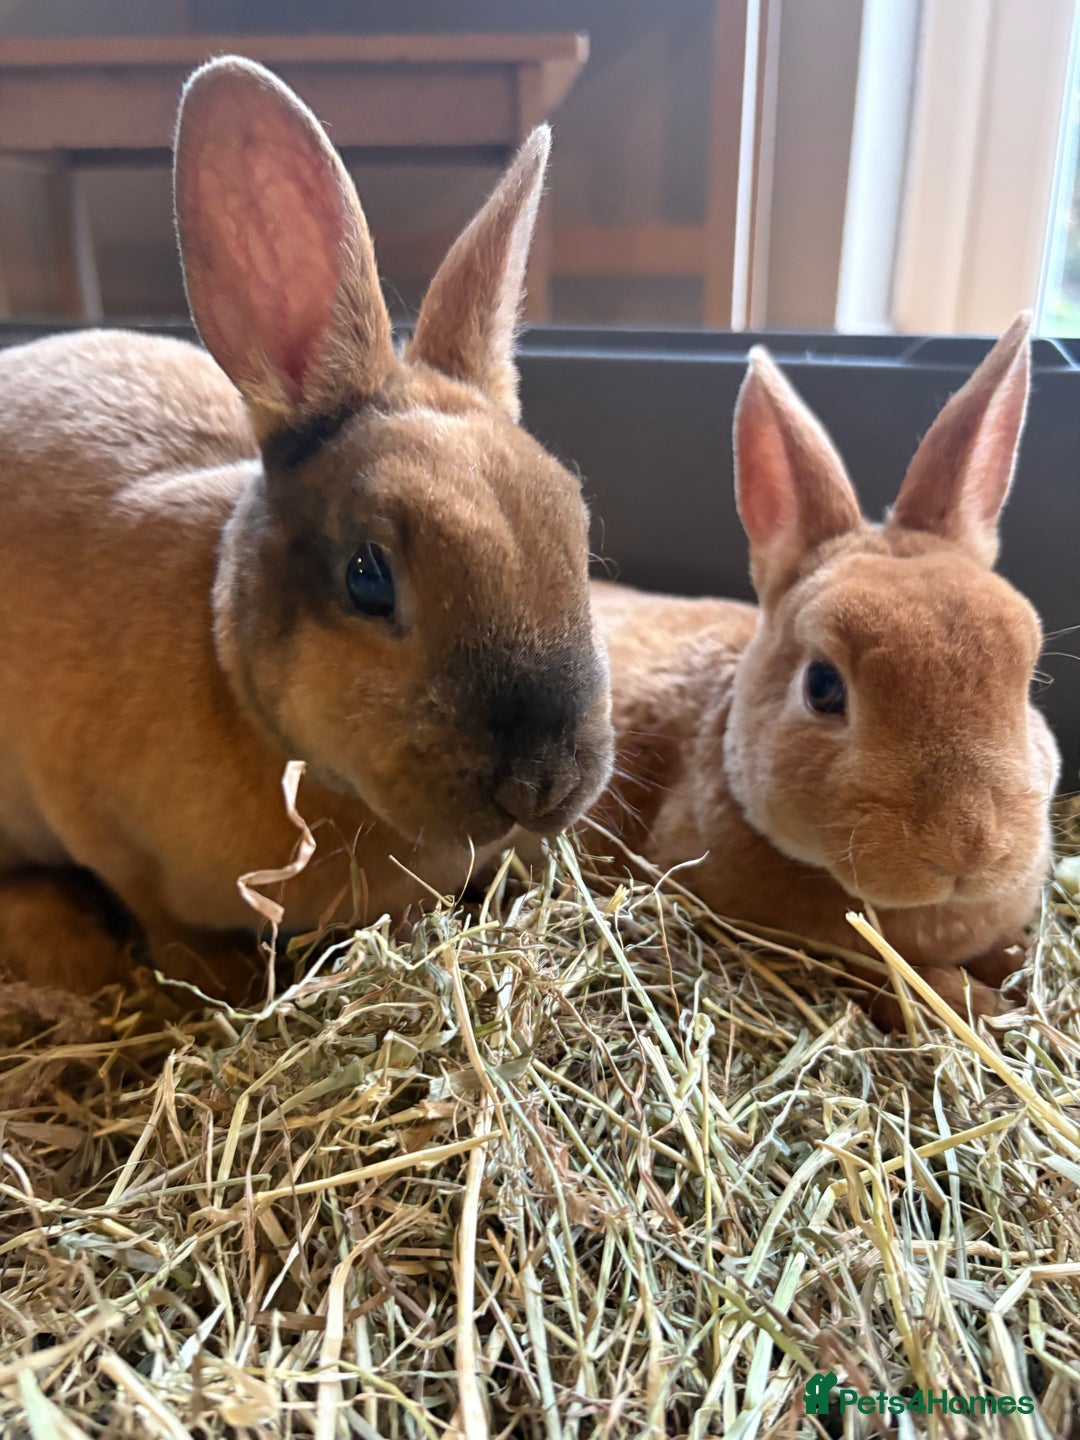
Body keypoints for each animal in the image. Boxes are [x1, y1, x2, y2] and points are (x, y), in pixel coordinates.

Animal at [0, 56, 613, 998]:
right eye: (367, 576)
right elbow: (167, 927)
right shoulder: (105, 839)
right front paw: (224, 986)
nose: (543, 783)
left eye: (574, 529)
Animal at [589, 314, 1060, 1025]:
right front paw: (978, 1002)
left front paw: (1014, 973)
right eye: (822, 686)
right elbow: (903, 981)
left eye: (1027, 675)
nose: (966, 847)